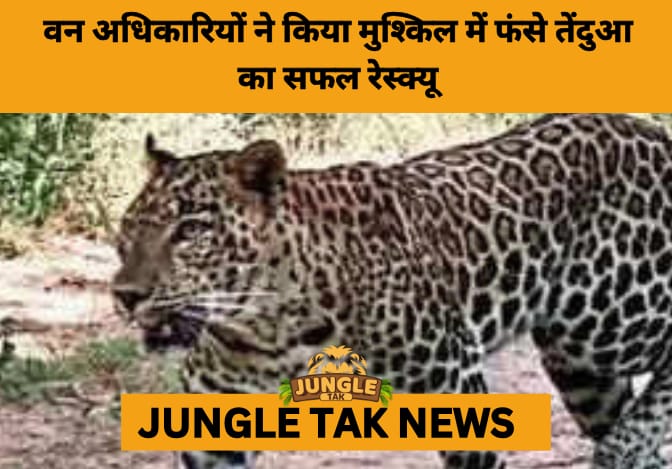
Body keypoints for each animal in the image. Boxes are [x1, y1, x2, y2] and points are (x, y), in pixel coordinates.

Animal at [112, 113, 672, 469]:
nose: (124, 295)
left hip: (609, 319)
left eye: (190, 231)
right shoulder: (216, 414)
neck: (267, 322)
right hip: (581, 366)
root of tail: (652, 132)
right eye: (128, 229)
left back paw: (629, 442)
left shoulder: (455, 387)